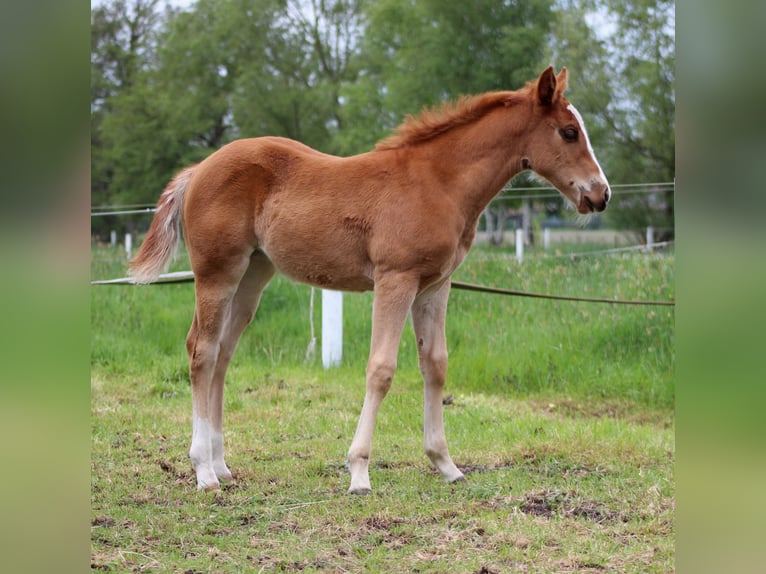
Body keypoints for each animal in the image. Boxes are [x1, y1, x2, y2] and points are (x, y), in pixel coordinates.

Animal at [129, 66, 610, 494]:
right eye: (569, 131)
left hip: (253, 275)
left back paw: (221, 465)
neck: (438, 182)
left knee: (224, 355)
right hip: (217, 272)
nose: (601, 194)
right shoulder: (395, 280)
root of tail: (198, 169)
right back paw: (203, 471)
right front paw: (359, 472)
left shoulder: (435, 286)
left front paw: (447, 465)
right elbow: (381, 369)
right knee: (202, 351)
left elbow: (435, 365)